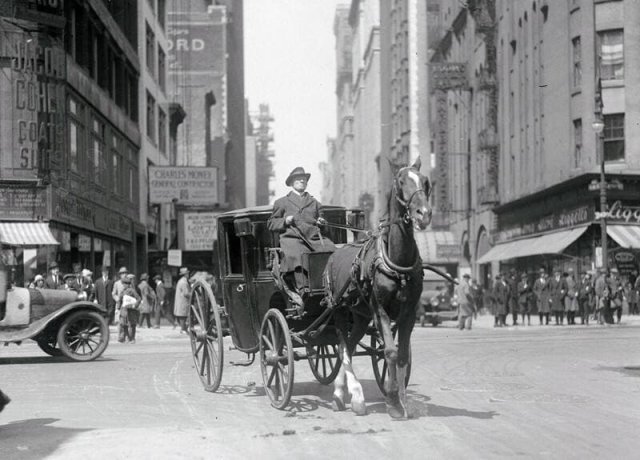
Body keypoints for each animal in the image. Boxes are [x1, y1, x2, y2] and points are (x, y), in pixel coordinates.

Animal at [322, 157, 432, 416]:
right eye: (401, 181)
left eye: (425, 182)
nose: (424, 214)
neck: (397, 267)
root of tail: (334, 253)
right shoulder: (380, 310)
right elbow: (389, 351)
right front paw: (392, 400)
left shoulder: (409, 313)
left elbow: (401, 355)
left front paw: (402, 401)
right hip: (339, 311)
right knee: (343, 347)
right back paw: (351, 396)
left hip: (360, 316)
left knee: (350, 346)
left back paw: (344, 394)